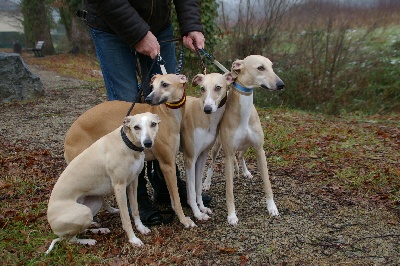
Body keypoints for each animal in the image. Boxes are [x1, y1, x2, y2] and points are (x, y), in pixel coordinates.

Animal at [45, 112, 161, 254]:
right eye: (136, 127)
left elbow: (135, 209)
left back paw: (99, 229)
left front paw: (141, 227)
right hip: (83, 212)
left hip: (95, 202)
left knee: (82, 229)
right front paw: (133, 239)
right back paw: (88, 241)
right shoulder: (120, 187)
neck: (127, 143)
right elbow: (126, 218)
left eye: (153, 124)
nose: (148, 143)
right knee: (70, 239)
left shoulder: (133, 182)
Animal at [62, 74, 197, 229]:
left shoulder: (165, 162)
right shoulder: (167, 164)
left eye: (164, 84)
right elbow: (176, 198)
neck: (167, 113)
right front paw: (184, 219)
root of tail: (68, 136)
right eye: (152, 86)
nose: (148, 99)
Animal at [181, 72, 234, 220]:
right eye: (202, 88)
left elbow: (198, 186)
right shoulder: (189, 159)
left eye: (218, 87)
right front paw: (197, 213)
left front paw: (202, 207)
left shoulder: (202, 156)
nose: (208, 109)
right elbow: (191, 190)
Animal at [209, 55, 284, 225]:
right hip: (217, 146)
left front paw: (272, 208)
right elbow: (229, 190)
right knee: (211, 164)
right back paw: (206, 183)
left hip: (245, 146)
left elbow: (267, 184)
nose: (281, 85)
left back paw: (245, 171)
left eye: (271, 66)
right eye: (260, 68)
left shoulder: (259, 150)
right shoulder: (228, 155)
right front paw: (232, 215)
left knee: (241, 156)